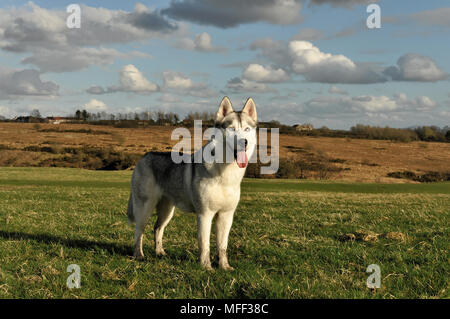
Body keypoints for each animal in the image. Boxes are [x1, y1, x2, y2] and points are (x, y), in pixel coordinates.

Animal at [128, 97, 258, 270]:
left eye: (247, 129)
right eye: (231, 129)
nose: (244, 142)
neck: (225, 172)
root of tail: (144, 156)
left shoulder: (226, 216)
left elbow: (222, 246)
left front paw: (224, 266)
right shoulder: (205, 214)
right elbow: (205, 244)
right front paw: (206, 267)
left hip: (167, 210)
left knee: (157, 228)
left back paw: (160, 252)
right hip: (144, 207)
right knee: (139, 231)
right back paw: (138, 255)